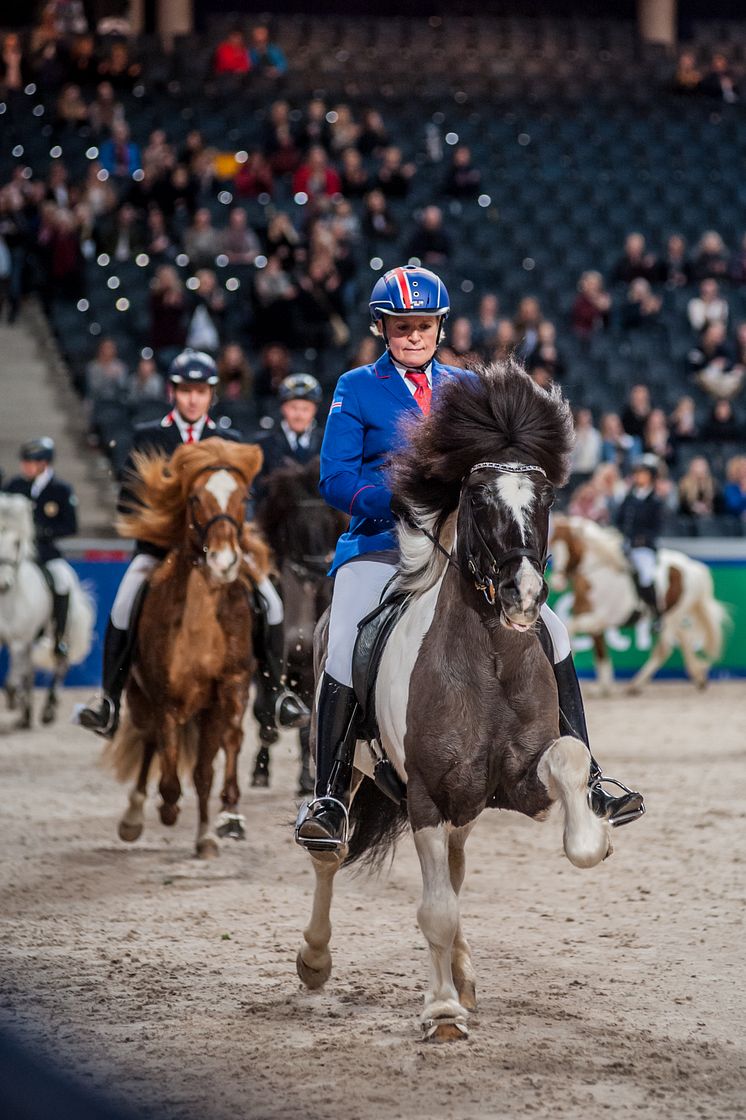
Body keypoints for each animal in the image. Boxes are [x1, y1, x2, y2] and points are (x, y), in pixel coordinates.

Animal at [0, 497, 95, 725]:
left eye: (17, 543)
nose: (3, 584)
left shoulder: (18, 642)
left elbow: (11, 684)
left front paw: (13, 700)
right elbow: (20, 677)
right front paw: (19, 704)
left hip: (62, 632)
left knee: (60, 665)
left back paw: (48, 710)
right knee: (29, 672)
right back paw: (25, 715)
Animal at [102, 436, 267, 855]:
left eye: (244, 496)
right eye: (193, 498)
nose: (225, 562)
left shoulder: (224, 695)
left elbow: (206, 771)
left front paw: (209, 834)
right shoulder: (168, 702)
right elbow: (171, 779)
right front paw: (168, 810)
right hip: (141, 699)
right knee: (149, 743)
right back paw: (134, 817)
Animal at [250, 456, 347, 797]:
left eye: (330, 520)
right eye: (298, 524)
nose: (320, 568)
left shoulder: (306, 668)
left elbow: (307, 728)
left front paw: (305, 780)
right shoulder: (271, 667)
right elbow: (265, 714)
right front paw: (261, 770)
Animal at [295, 362, 609, 1043]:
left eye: (544, 499)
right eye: (478, 499)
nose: (525, 595)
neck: (490, 658)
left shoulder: (520, 782)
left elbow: (568, 758)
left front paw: (593, 838)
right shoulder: (426, 796)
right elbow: (434, 908)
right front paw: (440, 1013)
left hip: (467, 802)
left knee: (457, 868)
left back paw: (462, 971)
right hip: (355, 780)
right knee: (331, 856)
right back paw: (315, 958)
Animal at [548, 512, 721, 689]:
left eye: (571, 547)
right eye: (552, 546)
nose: (557, 582)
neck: (598, 575)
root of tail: (690, 565)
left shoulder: (599, 619)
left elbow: (571, 627)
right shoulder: (593, 623)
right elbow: (600, 652)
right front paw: (604, 687)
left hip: (673, 615)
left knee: (664, 649)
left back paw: (636, 684)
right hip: (671, 616)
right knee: (684, 639)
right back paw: (699, 677)